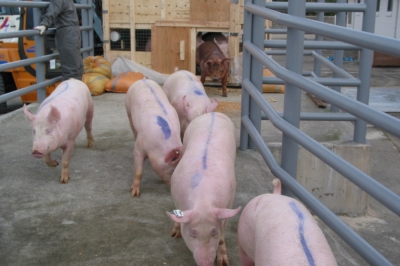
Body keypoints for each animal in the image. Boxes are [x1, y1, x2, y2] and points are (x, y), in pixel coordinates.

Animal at [166, 112, 241, 266]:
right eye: (193, 233)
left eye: (214, 232)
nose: (206, 262)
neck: (203, 200)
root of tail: (213, 113)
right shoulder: (175, 193)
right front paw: (174, 235)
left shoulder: (229, 200)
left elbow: (223, 233)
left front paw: (223, 263)